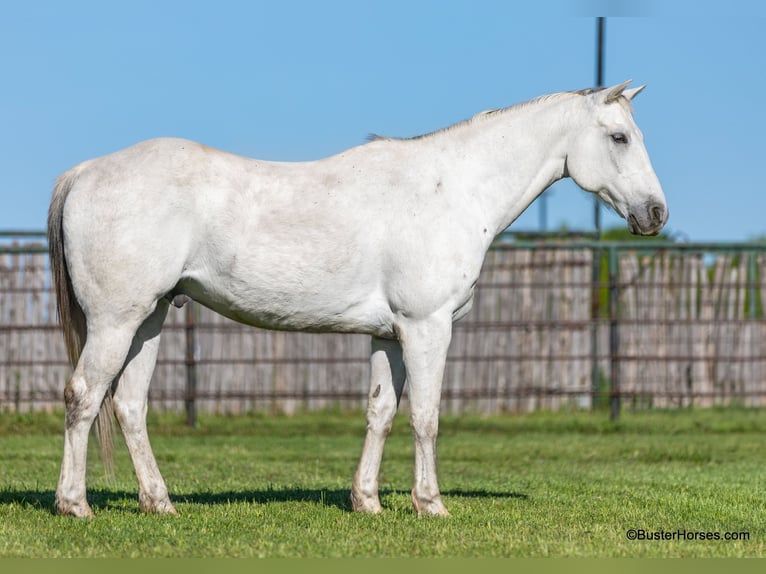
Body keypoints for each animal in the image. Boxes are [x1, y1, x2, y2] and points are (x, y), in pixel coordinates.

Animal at [51, 81, 668, 516]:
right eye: (619, 137)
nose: (656, 213)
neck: (451, 189)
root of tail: (84, 172)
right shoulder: (426, 327)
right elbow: (425, 416)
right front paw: (431, 504)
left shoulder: (387, 335)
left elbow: (381, 412)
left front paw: (367, 501)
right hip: (116, 321)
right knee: (83, 397)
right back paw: (74, 505)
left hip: (149, 320)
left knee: (129, 406)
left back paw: (160, 504)